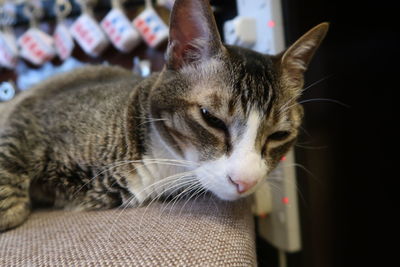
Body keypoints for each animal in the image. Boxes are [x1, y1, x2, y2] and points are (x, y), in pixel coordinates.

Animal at [0, 0, 328, 231]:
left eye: (279, 135)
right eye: (211, 119)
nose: (245, 183)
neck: (161, 166)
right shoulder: (29, 113)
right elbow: (8, 162)